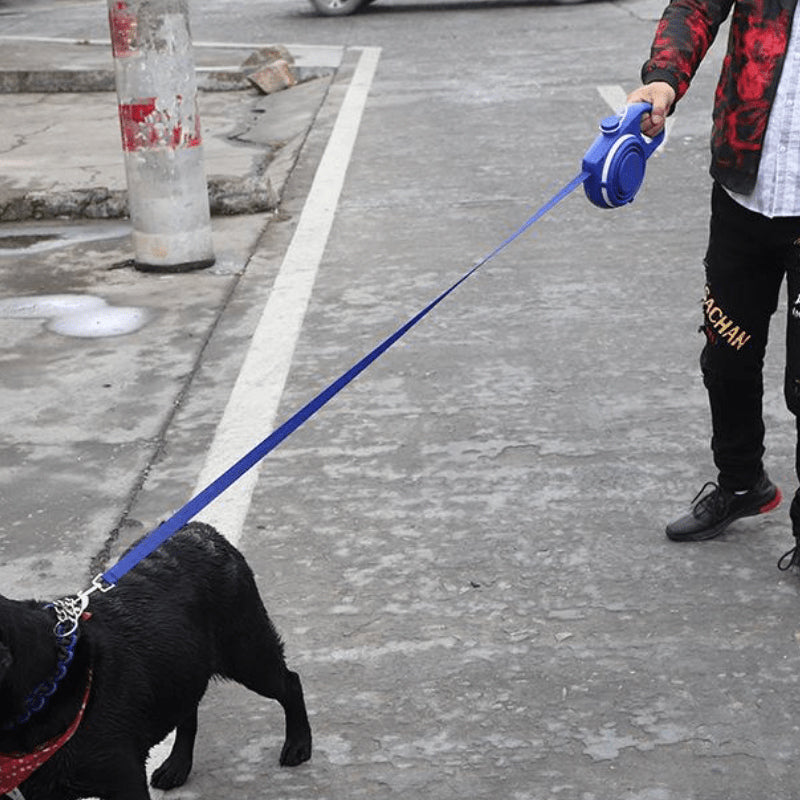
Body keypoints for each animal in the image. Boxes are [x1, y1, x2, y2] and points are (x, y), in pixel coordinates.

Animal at [0, 520, 312, 796]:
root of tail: (200, 529)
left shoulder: (124, 780)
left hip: (249, 655)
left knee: (290, 683)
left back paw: (299, 744)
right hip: (187, 666)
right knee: (188, 713)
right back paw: (177, 766)